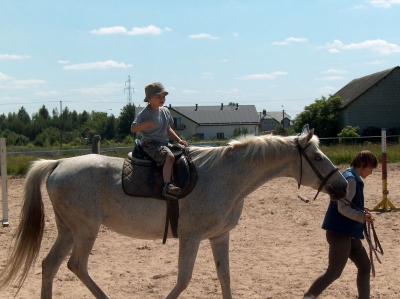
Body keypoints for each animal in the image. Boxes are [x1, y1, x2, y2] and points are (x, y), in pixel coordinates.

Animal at [0, 127, 346, 298]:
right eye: (317, 156)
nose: (342, 186)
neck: (224, 176)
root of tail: (58, 164)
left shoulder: (219, 237)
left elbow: (225, 277)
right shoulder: (191, 238)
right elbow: (183, 280)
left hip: (68, 231)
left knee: (50, 266)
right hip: (85, 230)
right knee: (76, 266)